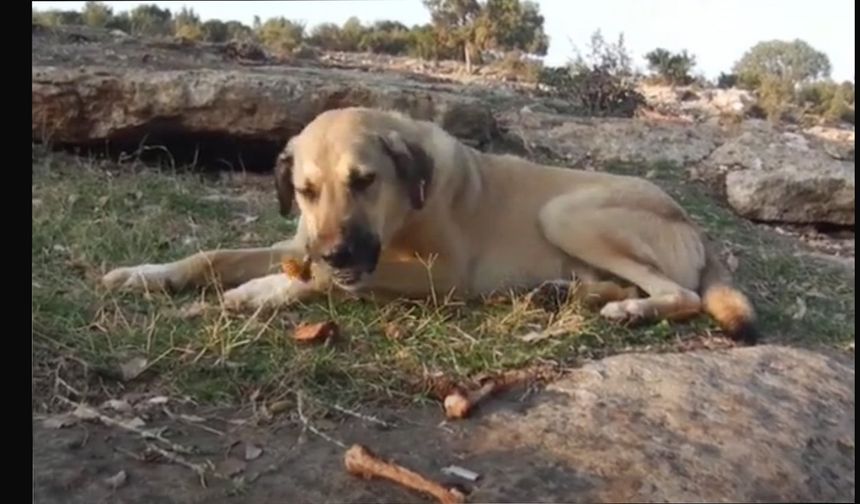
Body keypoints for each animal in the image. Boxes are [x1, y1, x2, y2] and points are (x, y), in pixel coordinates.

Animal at [102, 106, 760, 342]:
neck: (399, 215)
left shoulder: (441, 276)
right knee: (621, 282)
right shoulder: (299, 240)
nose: (335, 250)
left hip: (566, 211)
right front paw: (148, 273)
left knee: (679, 294)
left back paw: (629, 309)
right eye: (306, 192)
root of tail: (697, 226)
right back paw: (566, 292)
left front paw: (261, 292)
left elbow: (326, 281)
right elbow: (213, 257)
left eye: (364, 180)